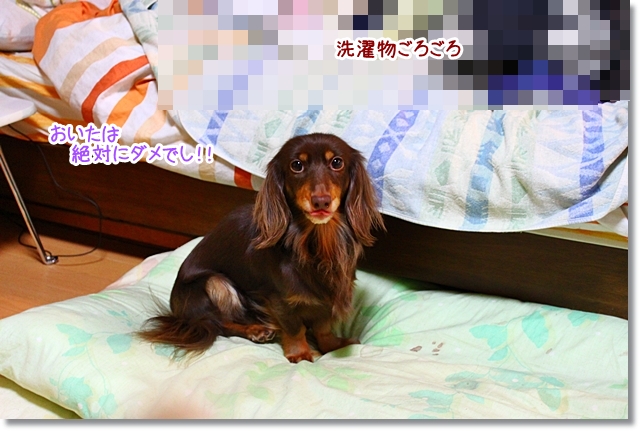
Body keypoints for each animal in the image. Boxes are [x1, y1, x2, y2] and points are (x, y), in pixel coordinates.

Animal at [138, 133, 385, 363]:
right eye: (297, 165)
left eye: (337, 162)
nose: (321, 201)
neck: (317, 241)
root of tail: (177, 312)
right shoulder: (278, 299)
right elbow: (295, 328)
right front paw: (300, 354)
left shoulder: (327, 298)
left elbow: (323, 327)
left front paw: (333, 345)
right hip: (214, 283)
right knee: (218, 324)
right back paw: (256, 330)